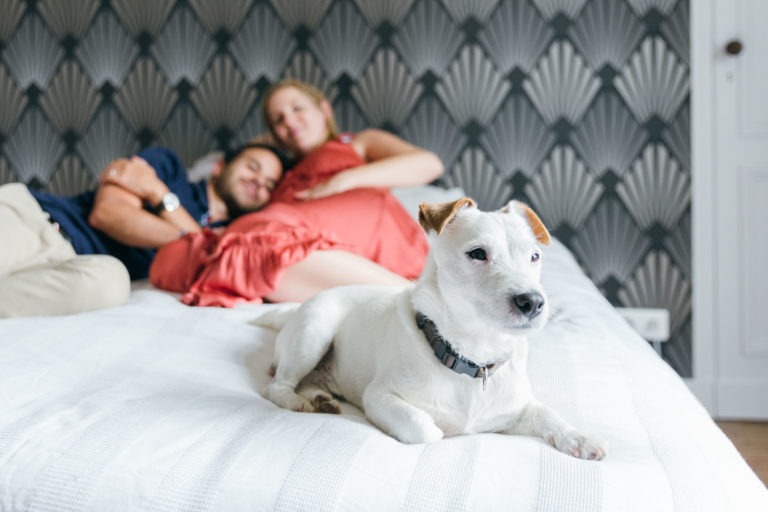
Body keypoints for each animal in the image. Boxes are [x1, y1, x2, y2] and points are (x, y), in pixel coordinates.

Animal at [258, 197, 608, 460]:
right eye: (477, 253)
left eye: (535, 256)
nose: (533, 302)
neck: (474, 356)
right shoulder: (380, 396)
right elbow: (426, 428)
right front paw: (443, 427)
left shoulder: (518, 409)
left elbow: (550, 415)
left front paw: (579, 438)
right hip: (313, 332)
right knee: (278, 385)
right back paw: (296, 400)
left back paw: (321, 398)